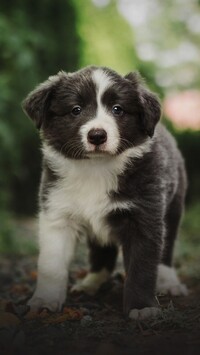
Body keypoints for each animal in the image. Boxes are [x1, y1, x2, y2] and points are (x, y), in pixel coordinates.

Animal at [22, 65, 188, 322]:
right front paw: (45, 300)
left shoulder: (144, 216)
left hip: (173, 207)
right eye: (76, 109)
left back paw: (169, 282)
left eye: (118, 109)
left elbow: (142, 267)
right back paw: (91, 283)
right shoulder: (58, 214)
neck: (96, 168)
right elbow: (52, 264)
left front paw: (141, 307)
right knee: (102, 252)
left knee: (167, 249)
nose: (97, 135)